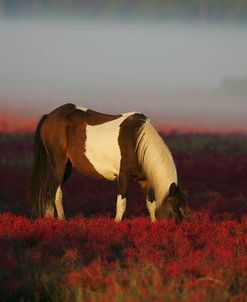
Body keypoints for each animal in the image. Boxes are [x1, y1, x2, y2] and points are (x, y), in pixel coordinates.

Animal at [29, 104, 187, 222]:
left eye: (184, 209)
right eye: (174, 209)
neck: (137, 142)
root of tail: (49, 116)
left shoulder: (145, 180)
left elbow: (151, 205)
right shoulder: (123, 177)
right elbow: (121, 204)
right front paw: (117, 224)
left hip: (67, 167)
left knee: (51, 190)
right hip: (59, 164)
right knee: (55, 191)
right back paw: (61, 220)